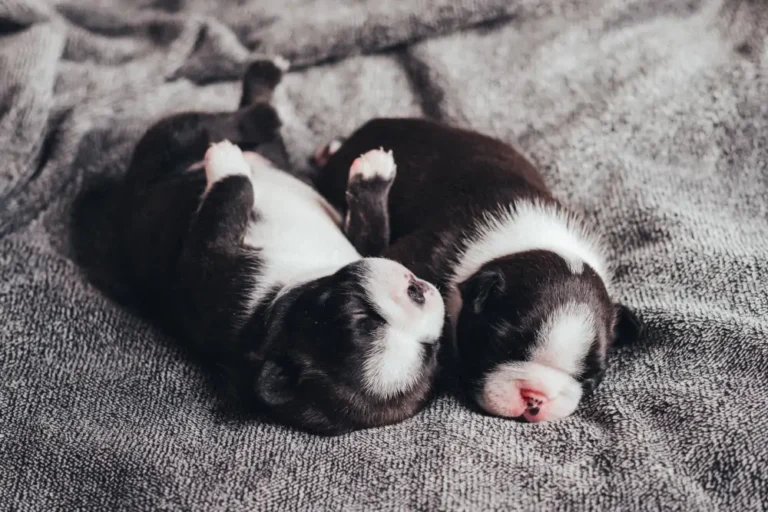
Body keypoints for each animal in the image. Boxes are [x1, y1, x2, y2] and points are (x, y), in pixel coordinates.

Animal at [117, 62, 448, 434]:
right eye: (361, 317)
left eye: (431, 349)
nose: (419, 293)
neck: (278, 299)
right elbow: (370, 227)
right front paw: (374, 175)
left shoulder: (206, 268)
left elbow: (230, 198)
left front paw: (227, 165)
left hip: (173, 139)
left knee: (226, 122)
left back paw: (260, 103)